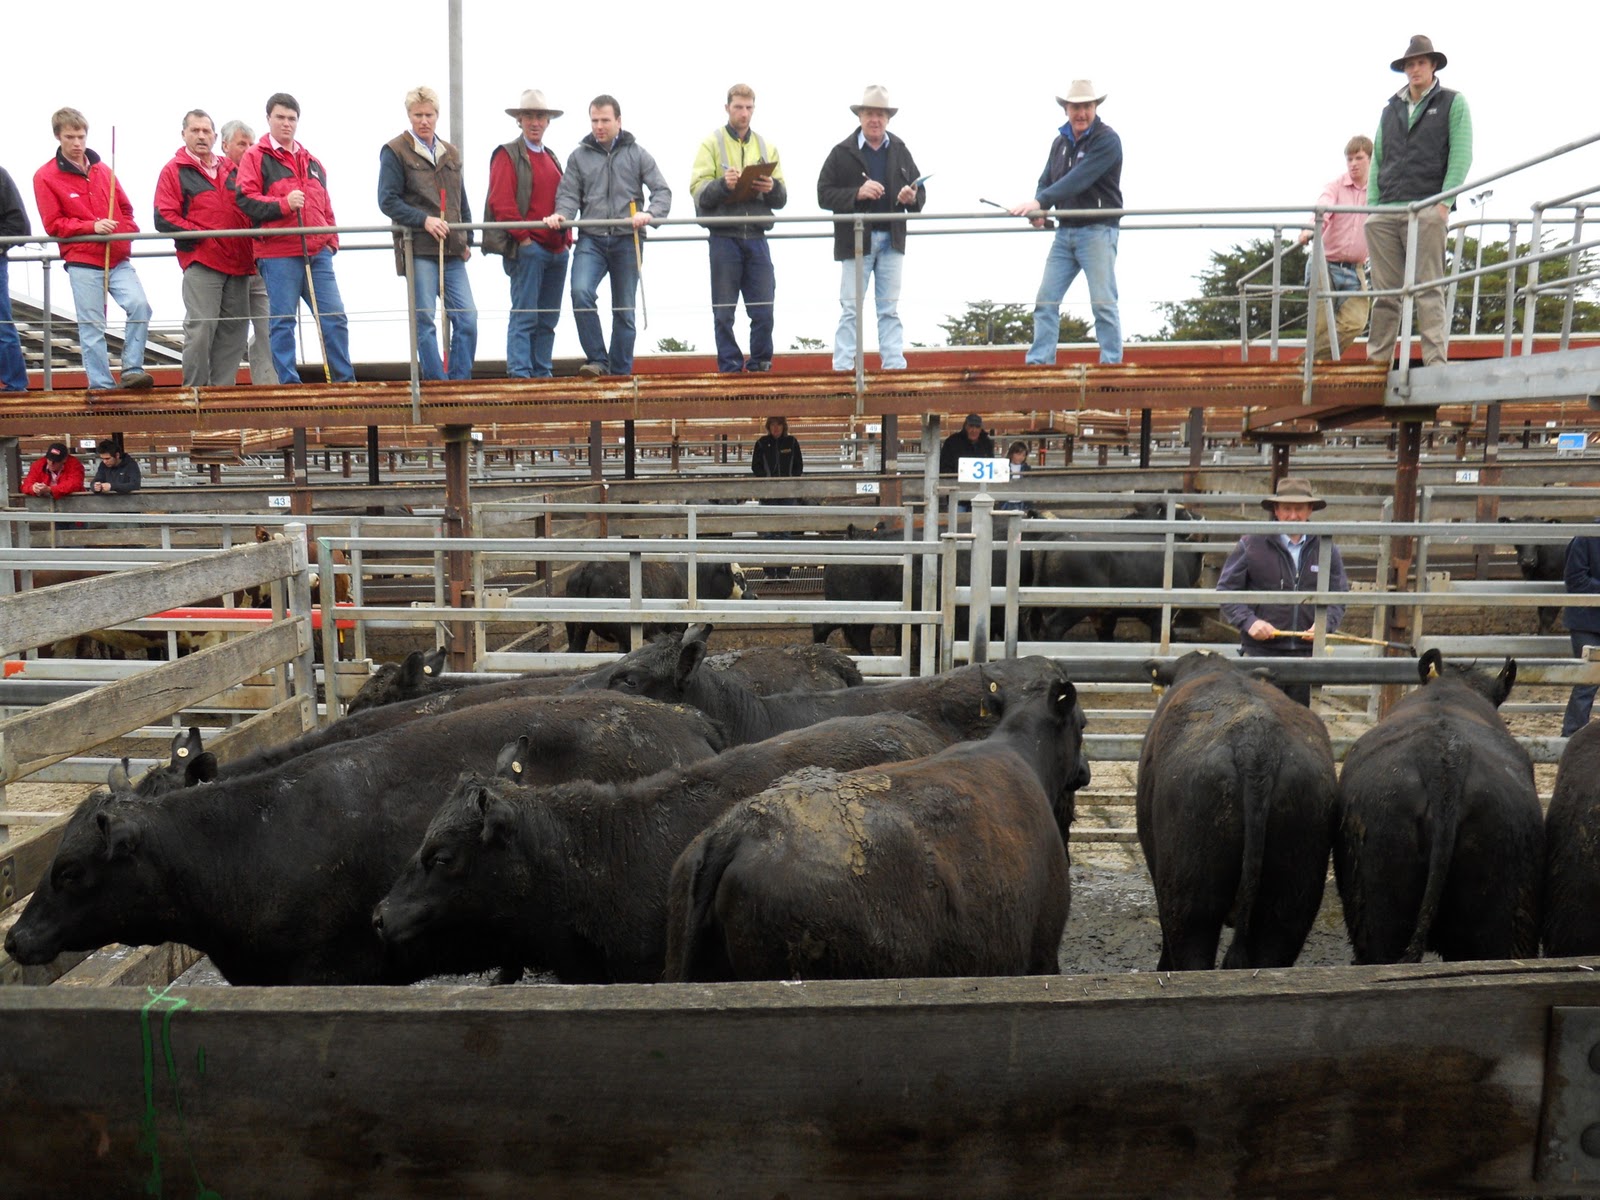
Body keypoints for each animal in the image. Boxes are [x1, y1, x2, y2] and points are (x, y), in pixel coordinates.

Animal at [563, 559, 753, 652]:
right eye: (737, 576)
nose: (753, 595)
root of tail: (588, 570)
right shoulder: (675, 627)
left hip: (576, 629)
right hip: (624, 633)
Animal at [1030, 501, 1207, 642]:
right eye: (1183, 511)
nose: (1199, 517)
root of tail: (1059, 535)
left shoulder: (1105, 616)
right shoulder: (1162, 615)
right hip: (1074, 606)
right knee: (1053, 627)